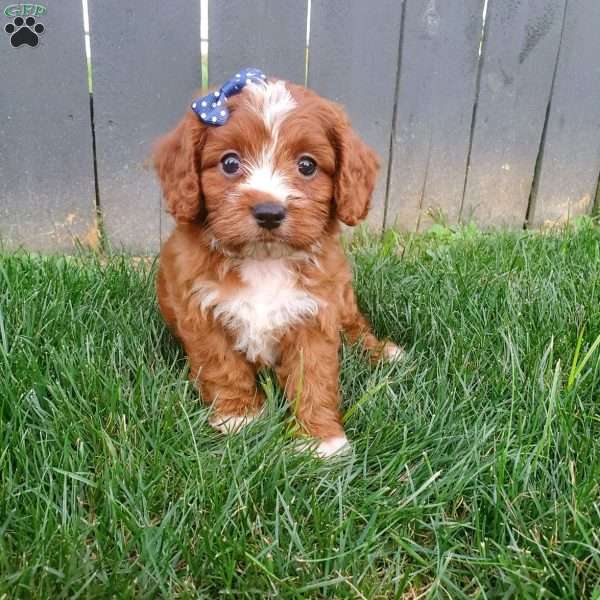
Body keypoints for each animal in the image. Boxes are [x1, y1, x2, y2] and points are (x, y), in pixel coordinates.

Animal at [152, 68, 400, 458]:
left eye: (307, 165)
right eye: (230, 163)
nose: (269, 211)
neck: (264, 261)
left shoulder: (315, 311)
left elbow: (313, 375)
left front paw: (320, 439)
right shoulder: (200, 311)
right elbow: (222, 365)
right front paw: (238, 416)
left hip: (343, 296)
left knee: (355, 324)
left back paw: (382, 352)